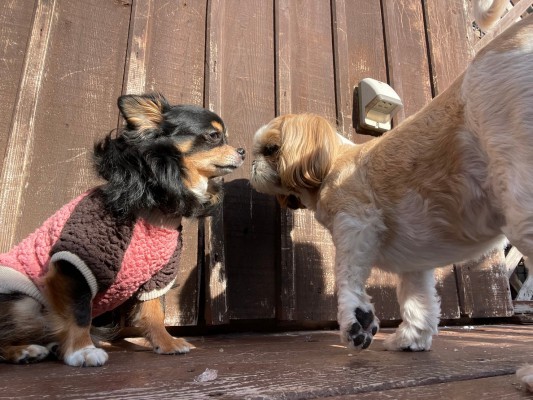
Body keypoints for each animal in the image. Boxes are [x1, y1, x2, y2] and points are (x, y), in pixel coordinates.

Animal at [0, 93, 245, 366]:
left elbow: (155, 313)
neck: (153, 207)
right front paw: (82, 351)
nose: (242, 151)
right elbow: (80, 312)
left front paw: (166, 343)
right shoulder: (75, 263)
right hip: (25, 303)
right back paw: (25, 351)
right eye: (214, 136)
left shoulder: (157, 275)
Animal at [250, 3, 532, 388]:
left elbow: (347, 275)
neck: (333, 165)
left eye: (271, 149)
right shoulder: (416, 265)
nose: (250, 163)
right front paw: (411, 338)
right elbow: (418, 301)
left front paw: (357, 321)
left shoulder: (356, 225)